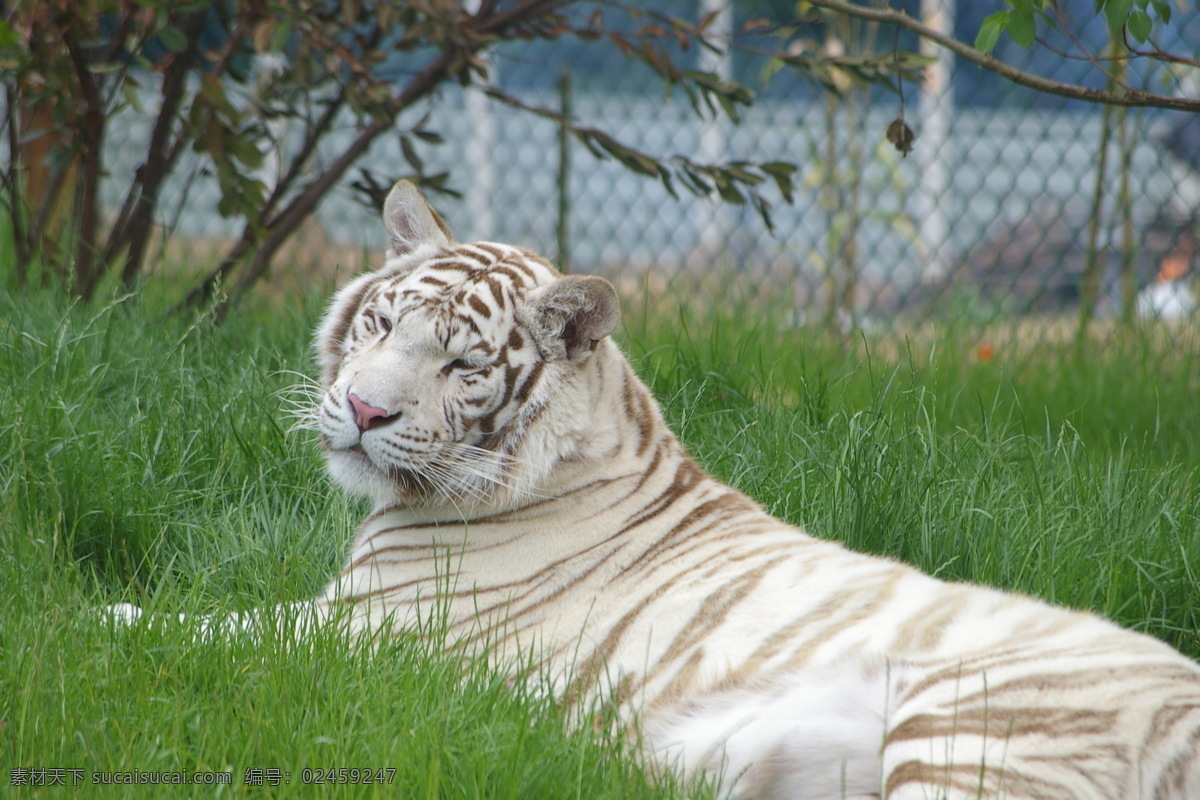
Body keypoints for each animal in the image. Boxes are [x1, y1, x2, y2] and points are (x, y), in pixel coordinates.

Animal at [110, 180, 1200, 800]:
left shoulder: (360, 634)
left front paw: (92, 614)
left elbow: (190, 625)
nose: (364, 409)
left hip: (971, 731)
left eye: (462, 363)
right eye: (380, 323)